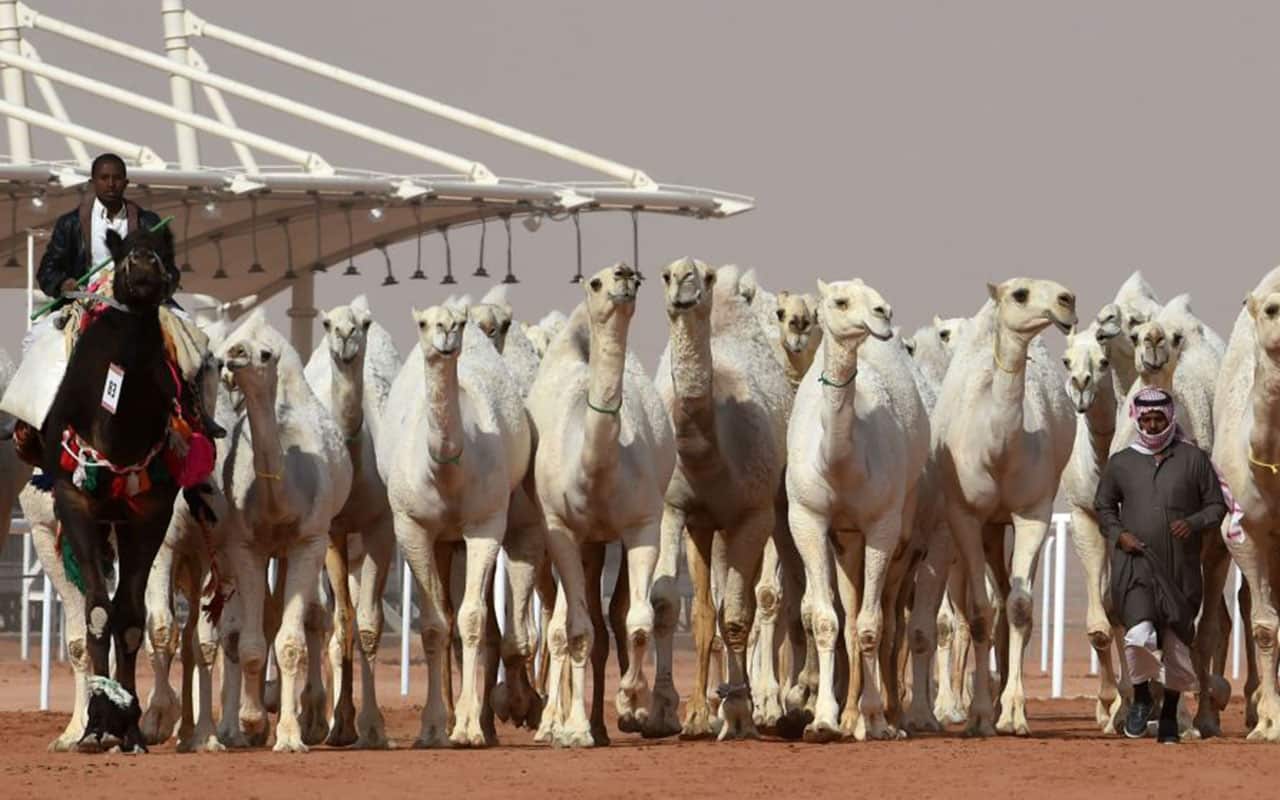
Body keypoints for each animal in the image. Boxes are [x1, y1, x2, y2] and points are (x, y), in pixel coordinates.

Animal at [217, 311, 353, 752]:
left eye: (265, 354)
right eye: (232, 344)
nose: (234, 356)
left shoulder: (309, 541)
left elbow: (291, 642)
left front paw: (291, 736)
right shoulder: (245, 545)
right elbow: (251, 642)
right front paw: (251, 720)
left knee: (316, 618)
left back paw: (316, 722)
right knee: (268, 618)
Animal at [377, 300, 530, 748]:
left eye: (458, 323)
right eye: (423, 323)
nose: (447, 332)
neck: (445, 474)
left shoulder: (485, 523)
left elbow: (472, 618)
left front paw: (469, 726)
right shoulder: (411, 527)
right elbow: (432, 625)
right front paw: (431, 726)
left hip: (466, 536)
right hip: (442, 541)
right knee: (444, 618)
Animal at [524, 263, 674, 747]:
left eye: (637, 277)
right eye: (594, 281)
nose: (624, 274)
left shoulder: (642, 525)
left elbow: (637, 619)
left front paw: (633, 704)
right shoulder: (562, 531)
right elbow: (577, 630)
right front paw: (572, 730)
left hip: (606, 541)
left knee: (613, 615)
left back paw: (611, 721)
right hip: (565, 540)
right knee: (568, 621)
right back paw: (562, 723)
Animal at [649, 259, 791, 741]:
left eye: (704, 276)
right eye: (665, 275)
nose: (685, 287)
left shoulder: (753, 514)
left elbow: (738, 617)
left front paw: (742, 713)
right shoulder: (676, 508)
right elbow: (672, 604)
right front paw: (679, 715)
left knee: (746, 604)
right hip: (706, 527)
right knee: (707, 607)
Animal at [933, 278, 1077, 736]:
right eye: (1020, 294)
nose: (1068, 300)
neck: (998, 450)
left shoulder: (1033, 511)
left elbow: (1019, 607)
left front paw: (1013, 712)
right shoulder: (964, 515)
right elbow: (979, 613)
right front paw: (977, 714)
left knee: (1009, 600)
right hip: (987, 529)